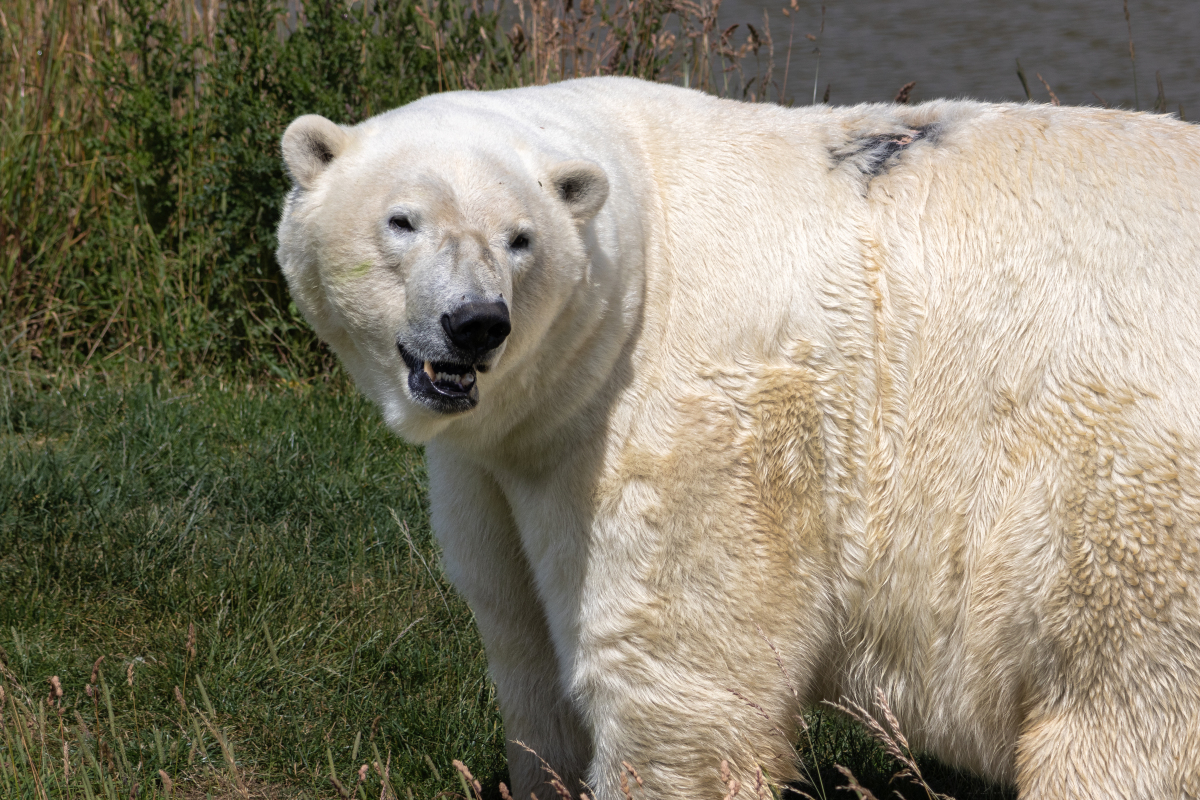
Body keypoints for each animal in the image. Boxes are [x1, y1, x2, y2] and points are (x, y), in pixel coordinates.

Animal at [276, 76, 1200, 800]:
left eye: (521, 238)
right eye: (401, 220)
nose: (475, 324)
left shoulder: (689, 417)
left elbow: (678, 667)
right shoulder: (500, 463)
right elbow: (522, 642)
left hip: (1119, 503)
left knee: (1123, 708)